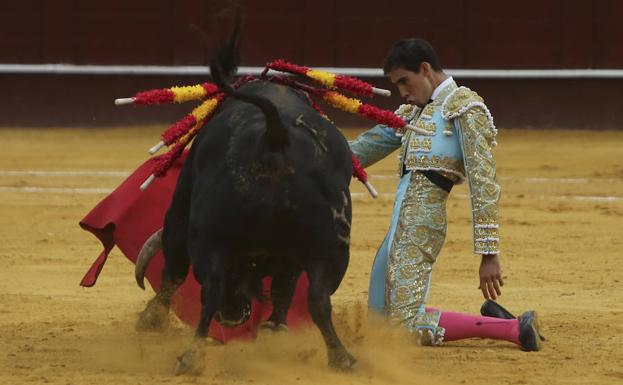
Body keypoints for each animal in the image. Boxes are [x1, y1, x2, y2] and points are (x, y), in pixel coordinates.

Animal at [133, 18, 356, 376]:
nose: (233, 316)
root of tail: (273, 138)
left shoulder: (182, 213)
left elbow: (174, 271)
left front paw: (151, 319)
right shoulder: (290, 255)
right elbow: (285, 287)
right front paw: (275, 328)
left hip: (210, 238)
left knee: (208, 289)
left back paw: (191, 356)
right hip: (331, 248)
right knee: (319, 299)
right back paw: (340, 357)